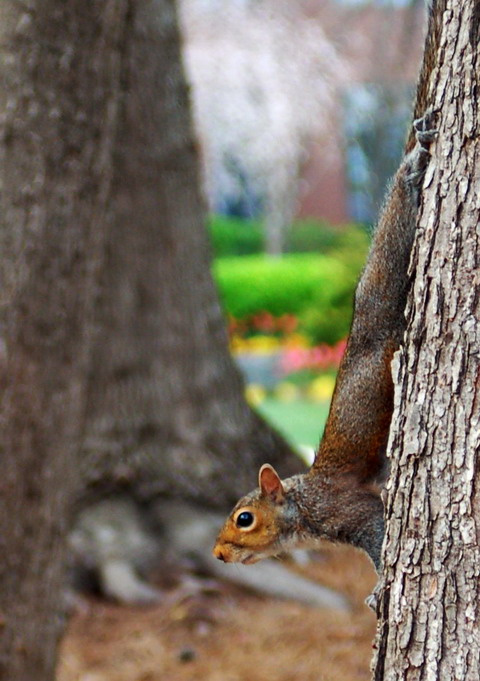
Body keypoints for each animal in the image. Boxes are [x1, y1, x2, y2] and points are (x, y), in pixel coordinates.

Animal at [213, 107, 438, 573]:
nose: (218, 553)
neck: (301, 508)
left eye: (244, 519)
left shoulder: (347, 509)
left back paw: (414, 161)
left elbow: (379, 534)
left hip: (378, 295)